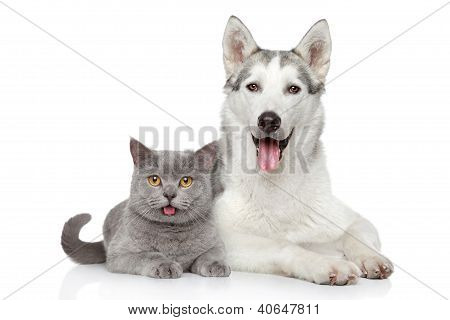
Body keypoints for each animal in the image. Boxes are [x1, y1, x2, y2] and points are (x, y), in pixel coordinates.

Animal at [60, 139, 230, 278]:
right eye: (154, 180)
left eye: (186, 181)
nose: (169, 194)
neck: (171, 232)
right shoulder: (119, 253)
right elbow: (149, 255)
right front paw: (165, 265)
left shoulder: (217, 243)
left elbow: (211, 254)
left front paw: (217, 265)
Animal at [213, 16, 392, 284]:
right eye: (253, 87)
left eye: (293, 89)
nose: (268, 120)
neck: (278, 184)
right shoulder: (224, 238)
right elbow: (283, 245)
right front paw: (324, 263)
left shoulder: (354, 220)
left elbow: (353, 233)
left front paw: (370, 257)